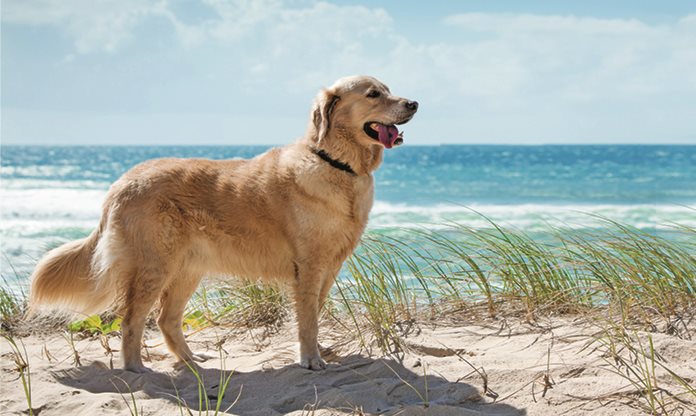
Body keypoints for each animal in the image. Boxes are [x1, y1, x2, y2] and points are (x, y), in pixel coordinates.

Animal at [28, 76, 418, 372]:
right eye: (373, 94)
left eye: (389, 88)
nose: (414, 103)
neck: (336, 163)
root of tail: (123, 181)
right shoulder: (308, 266)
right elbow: (307, 318)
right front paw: (310, 359)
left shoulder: (330, 266)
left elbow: (315, 313)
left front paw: (316, 351)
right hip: (155, 266)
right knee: (131, 319)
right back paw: (135, 367)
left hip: (187, 269)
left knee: (166, 319)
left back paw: (190, 360)